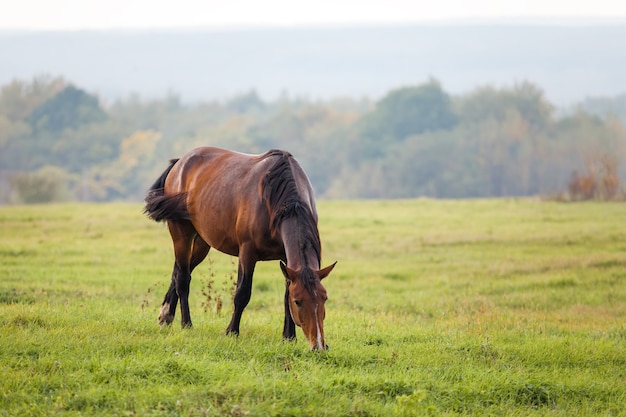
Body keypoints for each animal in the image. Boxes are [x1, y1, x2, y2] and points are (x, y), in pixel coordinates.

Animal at [143, 146, 334, 348]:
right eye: (298, 302)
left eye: (324, 298)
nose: (319, 345)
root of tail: (180, 162)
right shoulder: (247, 253)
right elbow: (242, 293)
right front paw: (232, 331)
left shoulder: (286, 260)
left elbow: (285, 295)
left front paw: (288, 337)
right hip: (182, 235)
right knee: (183, 279)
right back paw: (186, 324)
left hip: (202, 242)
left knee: (178, 270)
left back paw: (166, 316)